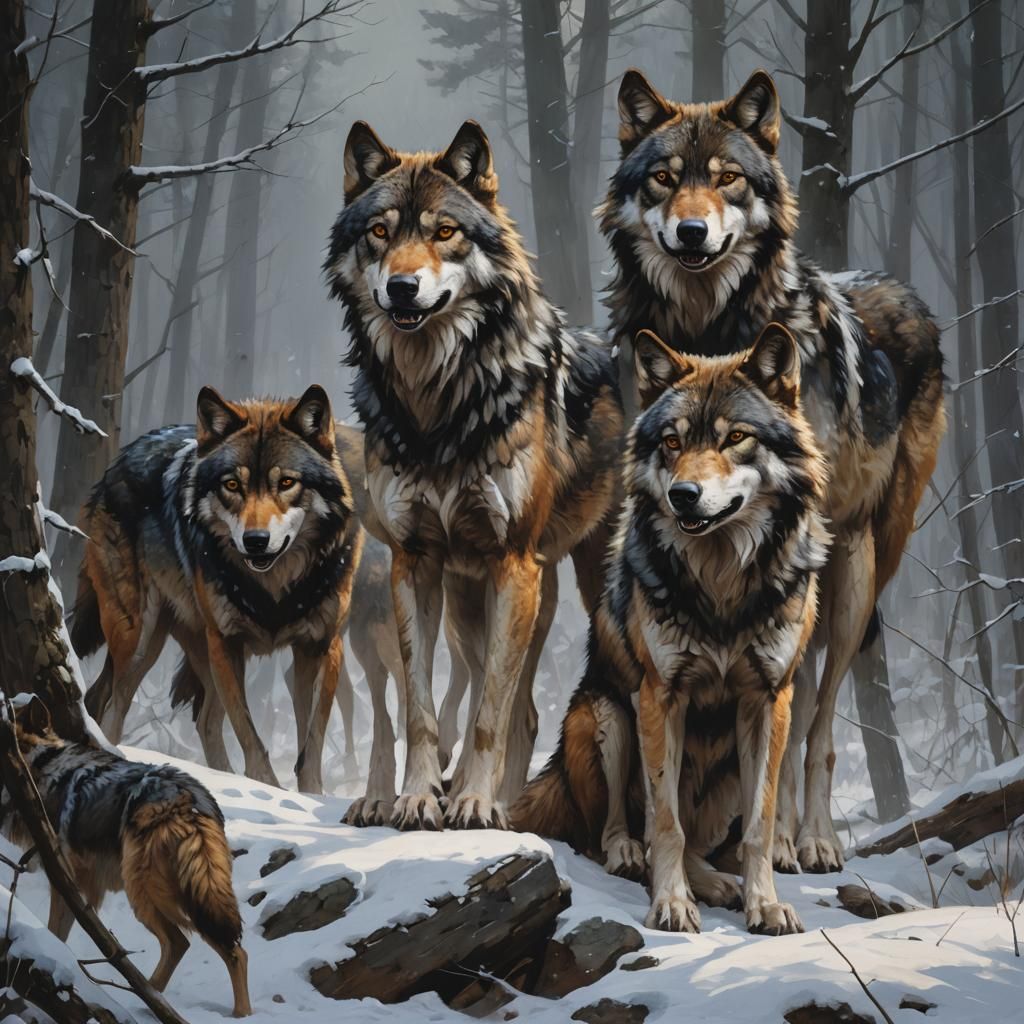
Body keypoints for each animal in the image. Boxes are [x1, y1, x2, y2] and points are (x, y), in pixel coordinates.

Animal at [1, 698, 251, 1016]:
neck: (42, 767)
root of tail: (185, 800)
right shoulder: (82, 893)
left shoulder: (66, 886)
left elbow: (55, 935)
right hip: (195, 897)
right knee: (230, 950)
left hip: (147, 895)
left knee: (180, 942)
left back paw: (149, 999)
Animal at [72, 386, 361, 794]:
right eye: (232, 484)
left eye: (287, 483)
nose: (255, 541)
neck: (275, 590)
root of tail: (117, 463)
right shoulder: (226, 642)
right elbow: (251, 739)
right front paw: (267, 790)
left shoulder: (321, 646)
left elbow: (311, 745)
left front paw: (311, 797)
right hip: (140, 637)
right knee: (113, 704)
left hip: (184, 646)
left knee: (202, 718)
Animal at [324, 119, 623, 831]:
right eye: (380, 231)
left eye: (444, 232)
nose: (402, 288)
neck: (438, 406)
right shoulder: (415, 563)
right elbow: (421, 707)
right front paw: (415, 797)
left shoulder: (513, 562)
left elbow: (487, 713)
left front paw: (474, 802)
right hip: (474, 605)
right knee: (527, 710)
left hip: (569, 588)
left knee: (525, 708)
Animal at [512, 325, 830, 934]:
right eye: (671, 442)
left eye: (736, 438)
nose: (684, 494)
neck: (722, 584)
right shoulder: (661, 697)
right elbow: (666, 823)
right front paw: (672, 903)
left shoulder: (769, 700)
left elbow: (759, 826)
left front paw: (765, 905)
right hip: (607, 715)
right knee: (612, 832)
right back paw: (632, 855)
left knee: (705, 843)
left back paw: (720, 883)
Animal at [597, 68, 945, 871]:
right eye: (665, 179)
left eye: (727, 178)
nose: (692, 233)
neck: (707, 330)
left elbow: (788, 733)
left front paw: (780, 840)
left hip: (854, 575)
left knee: (820, 721)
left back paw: (811, 837)